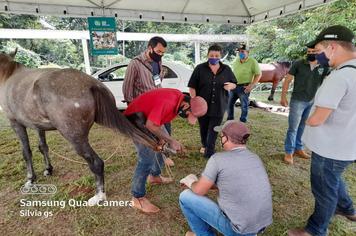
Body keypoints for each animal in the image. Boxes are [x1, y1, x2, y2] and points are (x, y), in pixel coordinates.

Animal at [0, 50, 159, 206]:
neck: (8, 74)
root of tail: (92, 84)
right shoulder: (38, 126)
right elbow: (43, 147)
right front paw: (48, 169)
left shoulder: (16, 123)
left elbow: (26, 152)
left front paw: (30, 179)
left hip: (76, 138)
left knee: (96, 163)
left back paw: (99, 196)